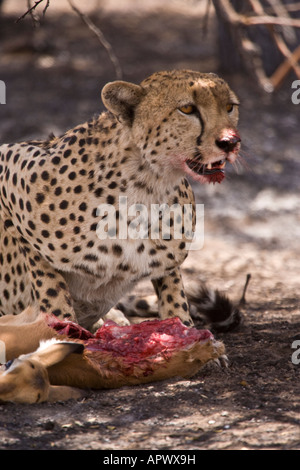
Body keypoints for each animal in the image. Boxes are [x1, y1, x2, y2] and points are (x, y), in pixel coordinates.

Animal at [0, 70, 240, 330]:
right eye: (187, 109)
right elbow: (50, 285)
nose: (230, 142)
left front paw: (185, 330)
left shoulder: (169, 258)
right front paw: (63, 328)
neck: (146, 183)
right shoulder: (9, 164)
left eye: (230, 107)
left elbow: (173, 293)